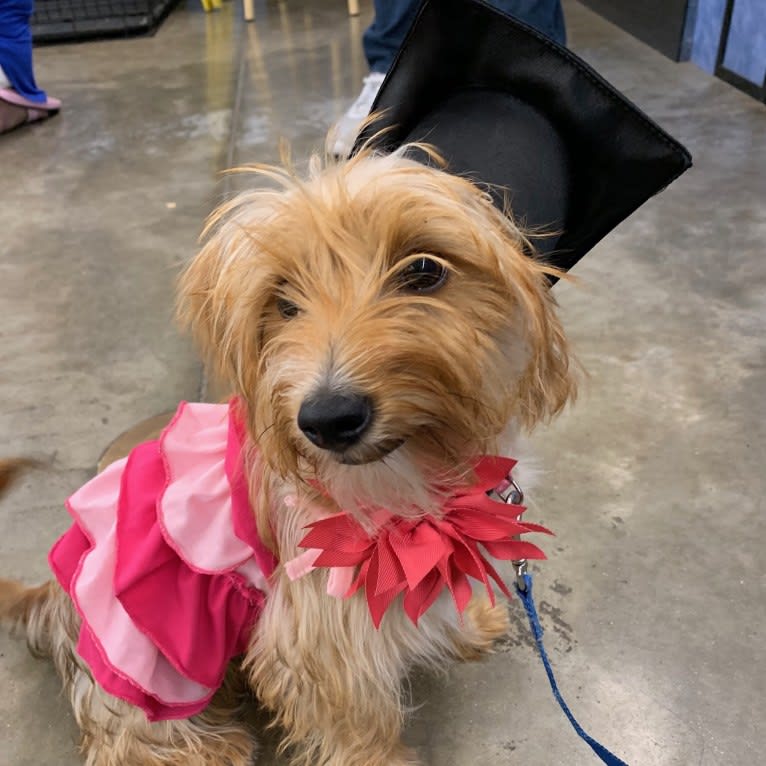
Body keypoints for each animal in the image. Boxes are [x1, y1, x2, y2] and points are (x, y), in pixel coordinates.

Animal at [0, 146, 576, 766]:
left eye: (423, 270)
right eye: (281, 302)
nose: (327, 419)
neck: (409, 480)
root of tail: (51, 597)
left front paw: (465, 628)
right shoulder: (317, 639)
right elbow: (360, 726)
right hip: (145, 659)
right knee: (128, 738)